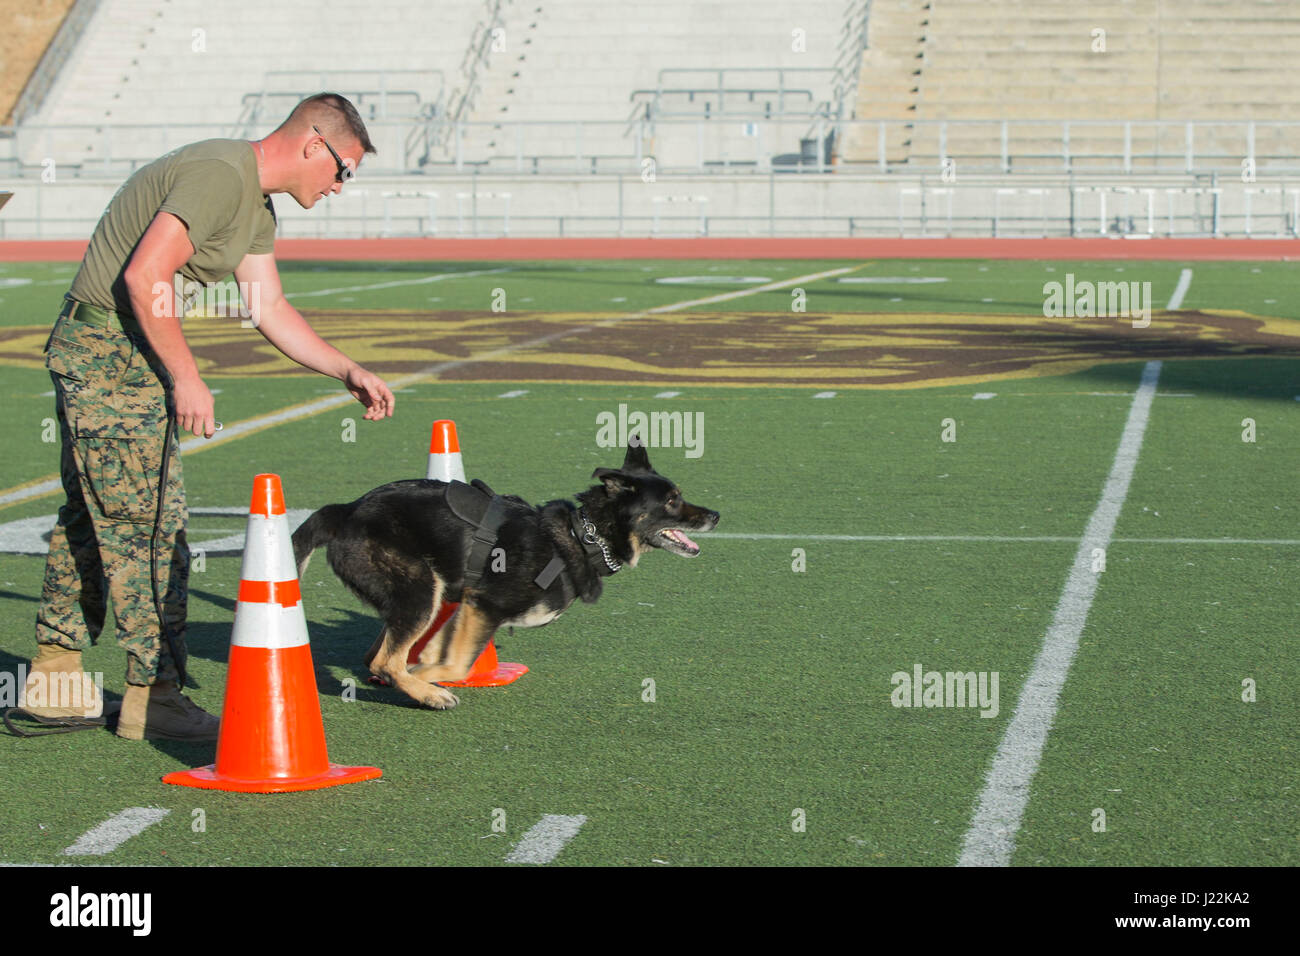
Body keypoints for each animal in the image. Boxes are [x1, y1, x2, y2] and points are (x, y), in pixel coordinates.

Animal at [292, 442, 722, 712]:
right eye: (672, 500)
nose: (716, 516)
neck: (583, 537)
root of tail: (346, 510)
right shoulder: (485, 604)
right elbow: (457, 666)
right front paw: (429, 683)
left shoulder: (467, 604)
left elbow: (442, 656)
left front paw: (426, 674)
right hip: (420, 592)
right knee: (385, 661)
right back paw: (428, 695)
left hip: (424, 595)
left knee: (376, 658)